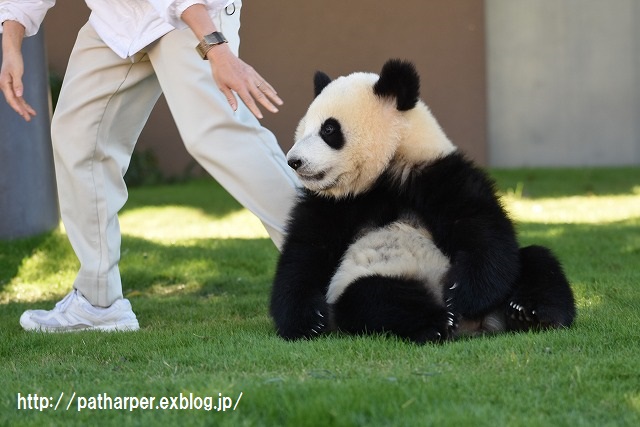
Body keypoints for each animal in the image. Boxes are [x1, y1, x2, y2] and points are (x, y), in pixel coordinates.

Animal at [268, 59, 576, 344]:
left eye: (329, 130)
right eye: (303, 129)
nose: (294, 161)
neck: (383, 176)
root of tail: (474, 325)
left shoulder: (438, 174)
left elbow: (483, 230)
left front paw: (463, 294)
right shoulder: (332, 205)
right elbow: (305, 254)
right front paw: (308, 321)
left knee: (538, 260)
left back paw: (531, 312)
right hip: (369, 281)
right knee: (371, 297)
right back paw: (437, 321)